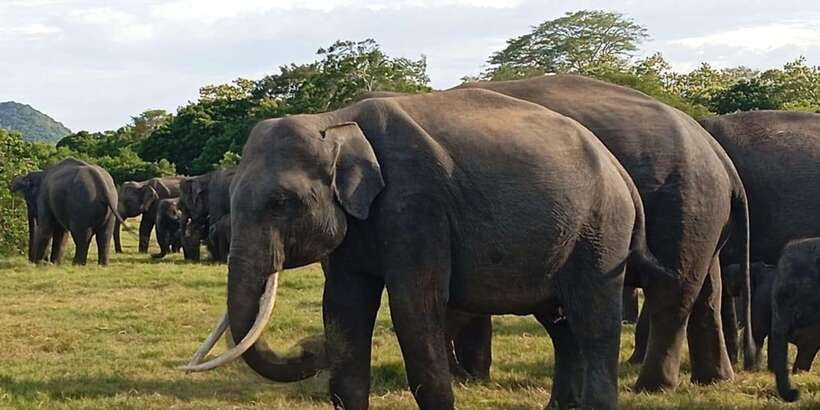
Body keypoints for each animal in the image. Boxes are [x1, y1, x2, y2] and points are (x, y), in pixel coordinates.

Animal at [181, 88, 675, 409]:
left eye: (281, 202)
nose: (308, 347)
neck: (334, 120)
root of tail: (620, 172)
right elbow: (342, 307)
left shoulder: (417, 208)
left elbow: (413, 309)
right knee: (559, 325)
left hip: (601, 232)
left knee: (593, 322)